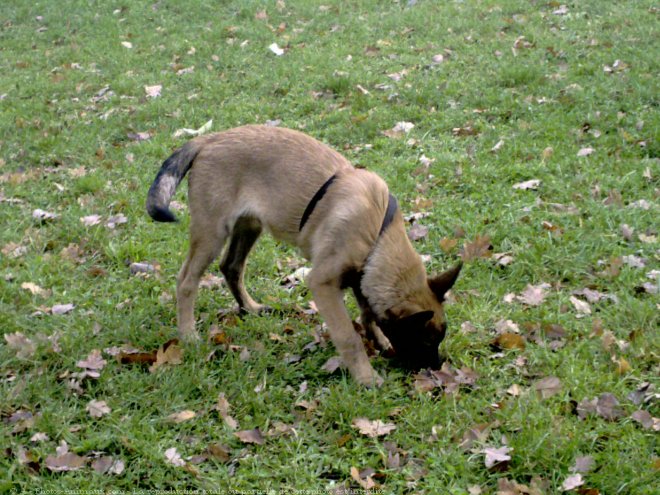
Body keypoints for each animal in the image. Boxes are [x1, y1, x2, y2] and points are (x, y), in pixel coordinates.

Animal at [147, 125, 462, 388]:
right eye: (425, 342)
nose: (437, 368)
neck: (378, 236)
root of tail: (210, 139)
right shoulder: (323, 283)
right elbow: (348, 336)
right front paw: (366, 377)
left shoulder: (360, 277)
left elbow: (368, 314)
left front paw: (381, 342)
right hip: (212, 233)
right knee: (187, 281)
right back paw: (188, 334)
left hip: (249, 227)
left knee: (231, 267)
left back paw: (251, 308)